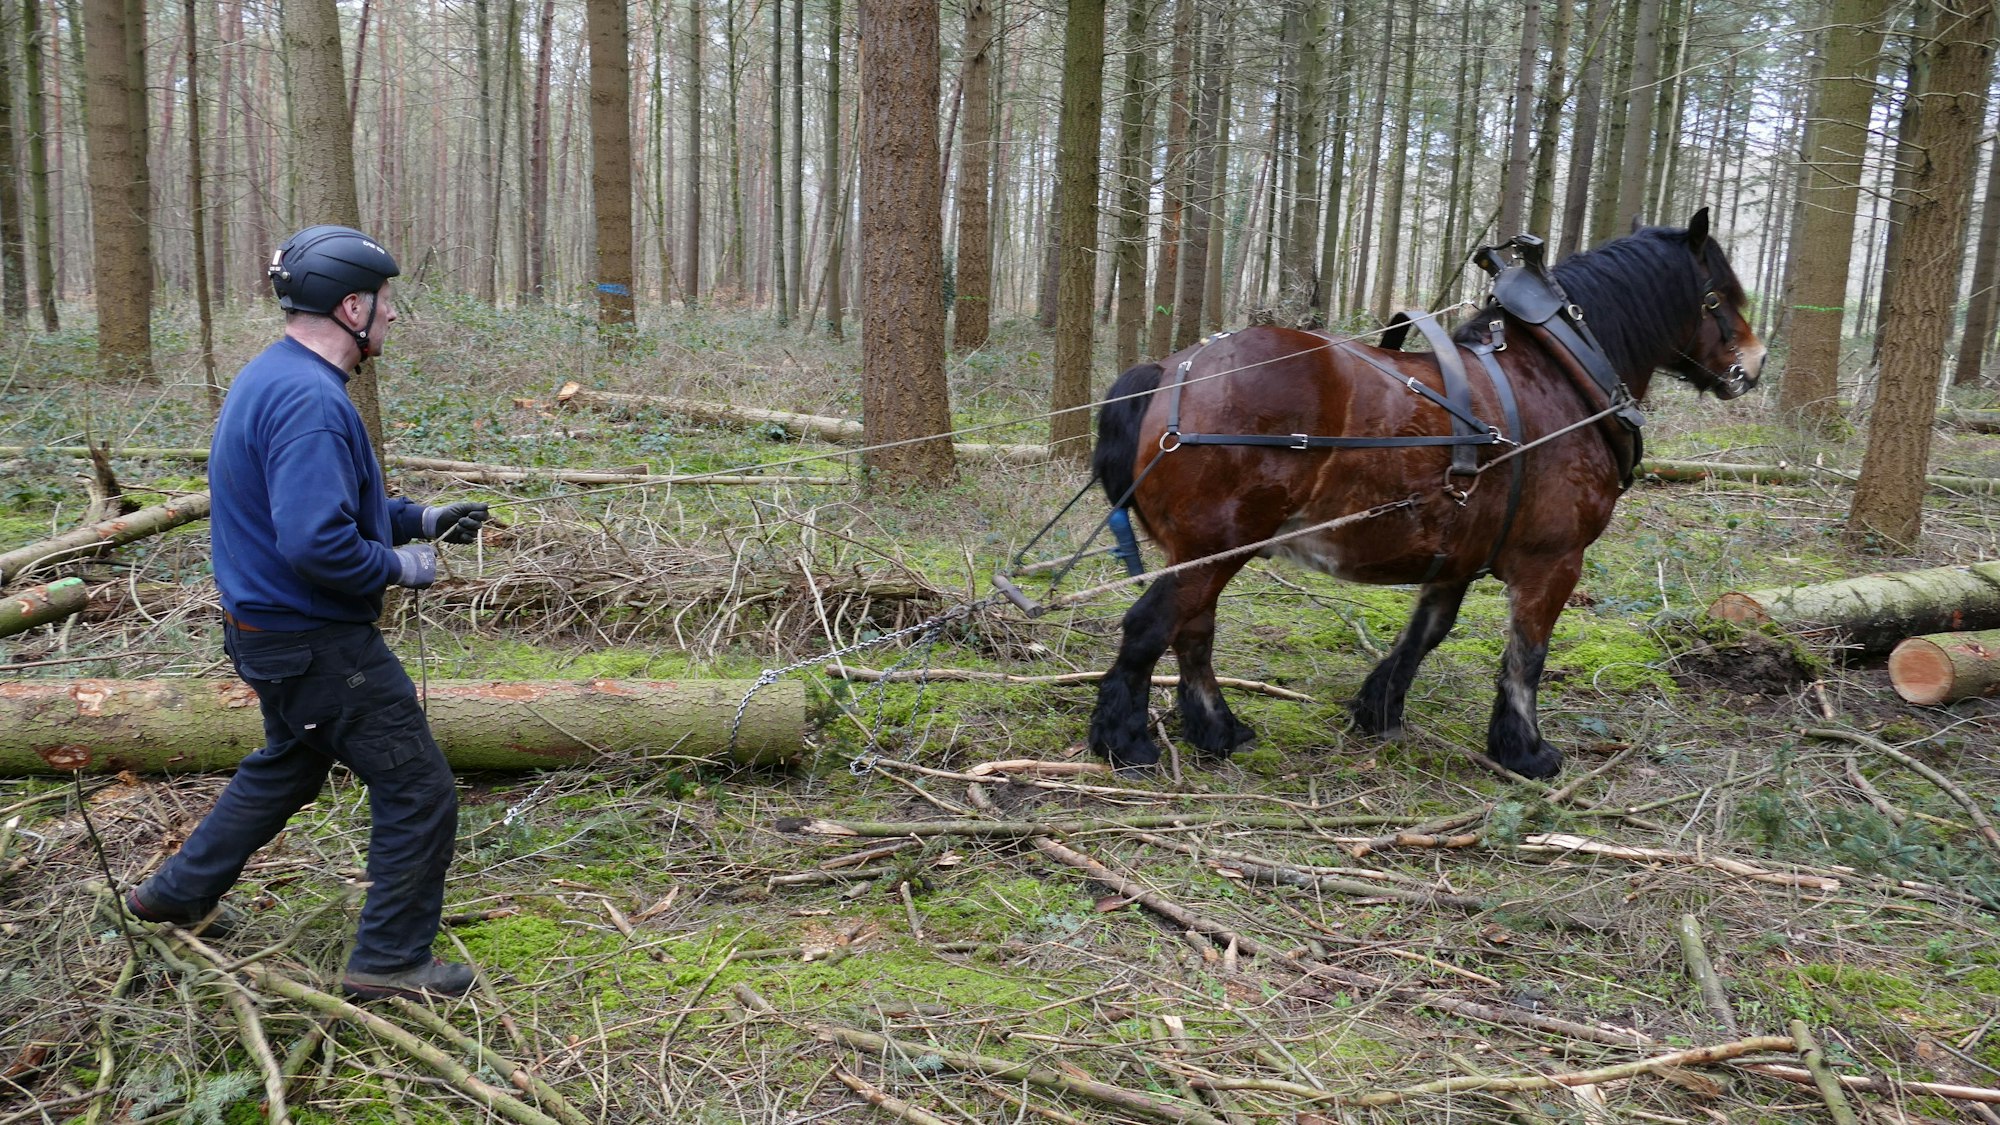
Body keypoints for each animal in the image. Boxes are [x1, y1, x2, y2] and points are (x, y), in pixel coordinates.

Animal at [1087, 208, 1764, 779]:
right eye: (1718, 296)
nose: (1754, 365)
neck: (1564, 372)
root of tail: (1171, 373)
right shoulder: (1554, 560)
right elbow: (1528, 654)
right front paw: (1526, 750)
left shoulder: (1459, 552)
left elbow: (1426, 633)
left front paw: (1379, 708)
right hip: (1215, 547)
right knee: (1152, 627)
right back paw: (1126, 741)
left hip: (1208, 553)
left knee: (1193, 631)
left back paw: (1218, 730)